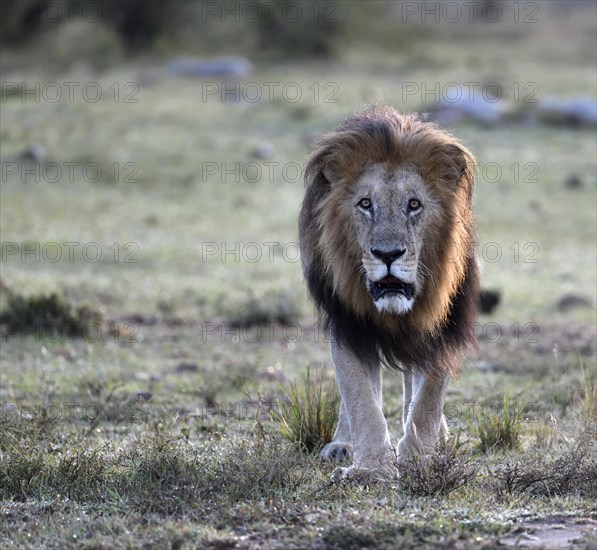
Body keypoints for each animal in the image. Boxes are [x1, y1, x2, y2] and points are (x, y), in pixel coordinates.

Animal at [298, 105, 480, 480]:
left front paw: (418, 459)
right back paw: (343, 444)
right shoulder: (348, 323)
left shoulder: (444, 325)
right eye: (366, 203)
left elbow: (427, 400)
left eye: (414, 204)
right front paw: (371, 467)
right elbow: (360, 398)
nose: (388, 254)